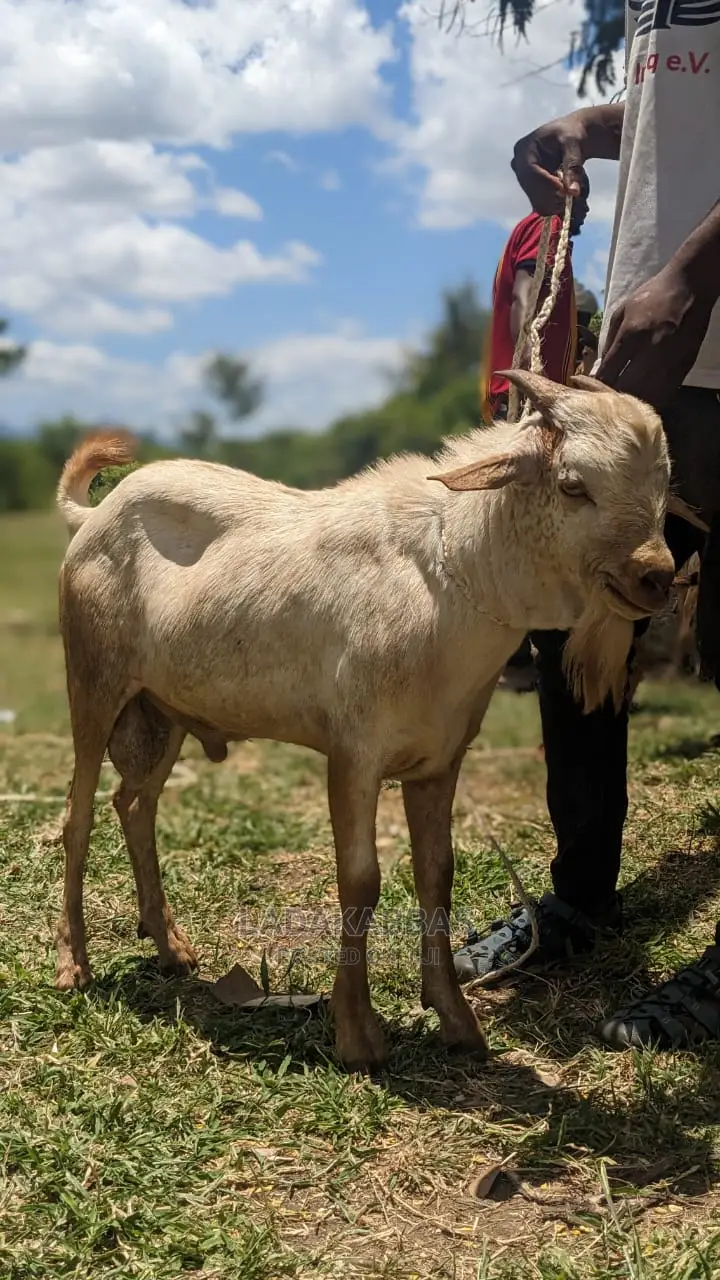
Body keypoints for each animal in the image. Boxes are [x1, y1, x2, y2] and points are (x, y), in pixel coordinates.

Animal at [55, 369, 682, 1071]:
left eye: (663, 485)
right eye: (574, 485)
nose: (657, 576)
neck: (448, 575)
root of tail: (94, 516)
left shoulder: (438, 759)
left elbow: (436, 876)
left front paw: (456, 1020)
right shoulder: (353, 753)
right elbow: (360, 880)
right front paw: (357, 1035)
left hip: (164, 711)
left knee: (134, 803)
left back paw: (170, 947)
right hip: (95, 683)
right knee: (77, 815)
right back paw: (74, 964)